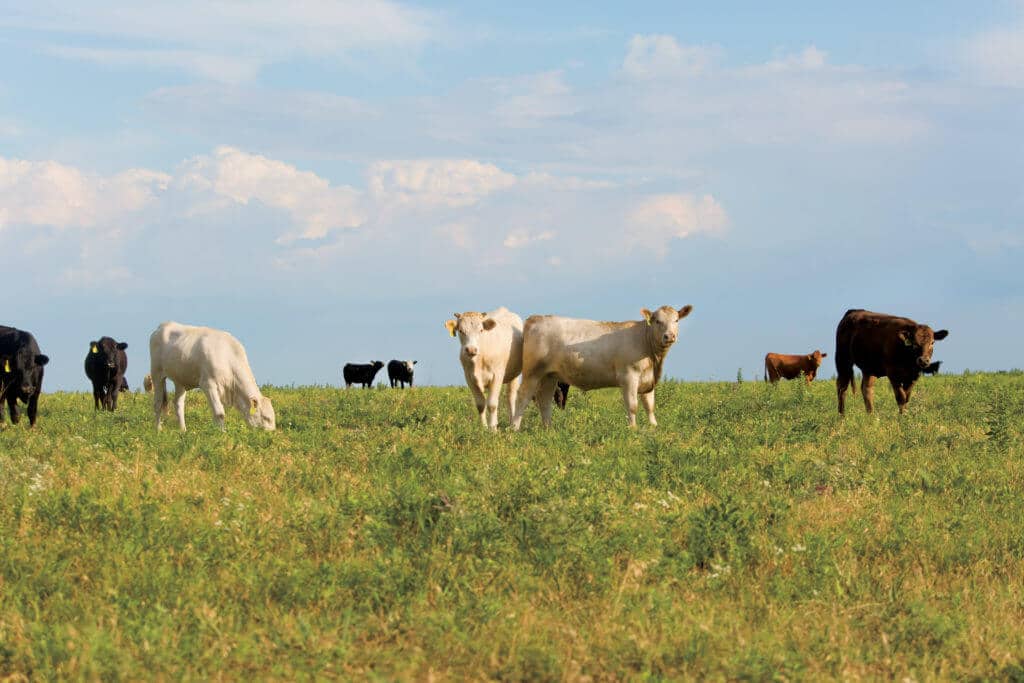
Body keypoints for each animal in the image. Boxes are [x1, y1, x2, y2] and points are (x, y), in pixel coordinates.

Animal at [511, 305, 693, 429]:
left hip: (550, 375)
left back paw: (548, 429)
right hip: (532, 372)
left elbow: (650, 405)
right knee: (522, 397)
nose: (669, 336)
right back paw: (515, 428)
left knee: (545, 400)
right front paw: (633, 429)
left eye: (676, 320)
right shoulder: (629, 376)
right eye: (657, 321)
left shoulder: (648, 379)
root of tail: (536, 318)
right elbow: (633, 405)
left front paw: (654, 427)